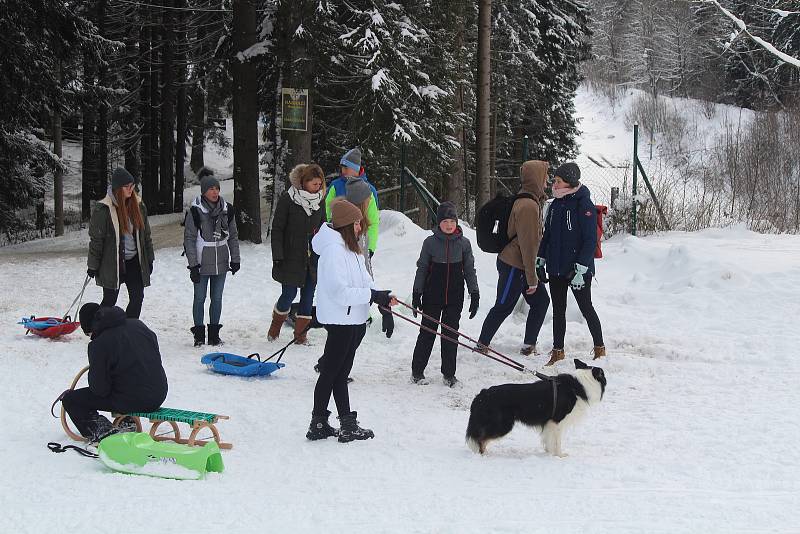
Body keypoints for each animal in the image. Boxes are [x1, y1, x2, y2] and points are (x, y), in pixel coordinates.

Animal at [462, 360, 608, 456]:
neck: (578, 386)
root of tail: (482, 394)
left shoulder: (549, 423)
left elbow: (549, 440)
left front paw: (549, 452)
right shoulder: (557, 421)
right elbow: (558, 441)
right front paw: (560, 455)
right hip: (503, 425)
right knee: (481, 439)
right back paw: (483, 455)